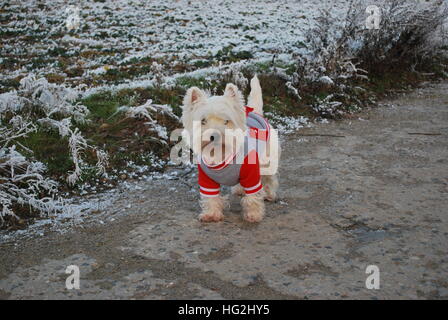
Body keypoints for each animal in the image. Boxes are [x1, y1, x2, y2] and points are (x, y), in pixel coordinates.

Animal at [180, 76, 278, 224]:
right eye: (203, 121)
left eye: (226, 121)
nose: (214, 136)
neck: (220, 154)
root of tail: (255, 112)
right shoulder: (207, 180)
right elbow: (211, 197)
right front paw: (211, 214)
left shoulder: (251, 174)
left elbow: (253, 195)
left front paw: (253, 215)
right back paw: (239, 190)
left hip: (267, 161)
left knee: (269, 179)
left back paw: (269, 194)